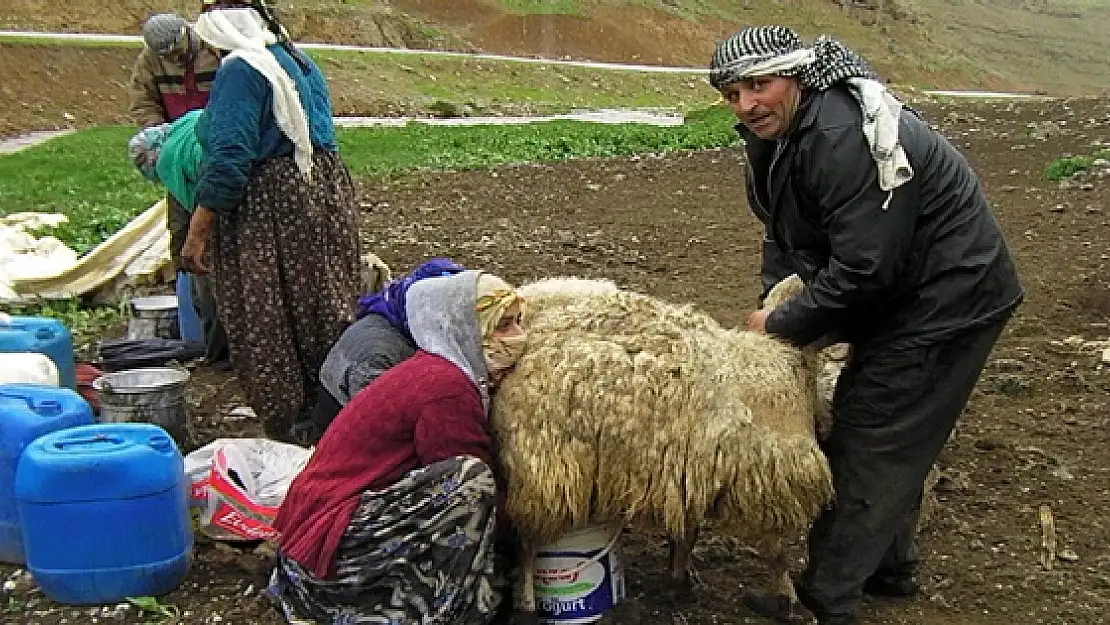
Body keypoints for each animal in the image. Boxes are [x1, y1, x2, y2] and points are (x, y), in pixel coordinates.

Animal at [495, 277, 834, 621]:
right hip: (544, 472)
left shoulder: (693, 474)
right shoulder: (764, 486)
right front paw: (785, 598)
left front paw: (679, 576)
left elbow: (688, 532)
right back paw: (526, 603)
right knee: (526, 543)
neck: (783, 363)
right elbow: (775, 551)